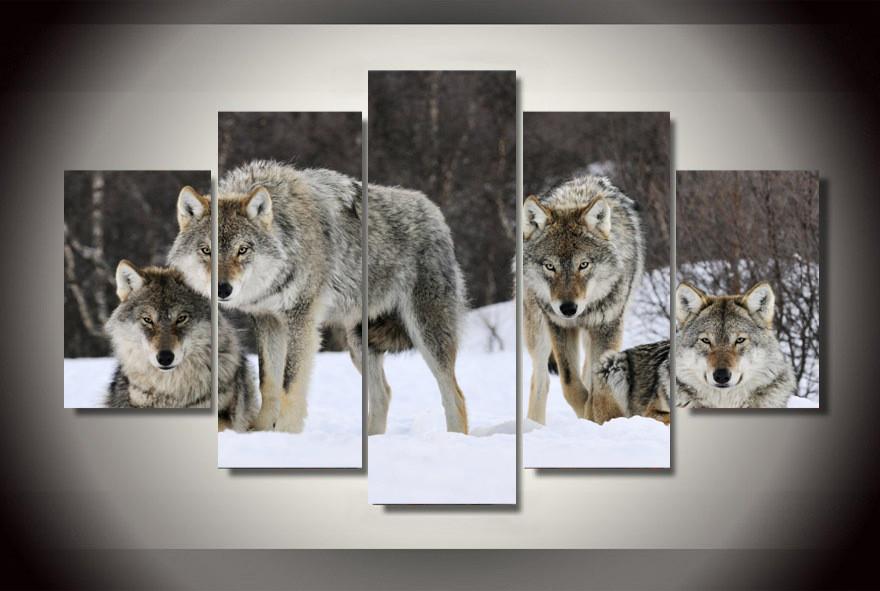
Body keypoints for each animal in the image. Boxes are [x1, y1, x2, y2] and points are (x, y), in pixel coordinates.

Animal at [168, 160, 468, 435]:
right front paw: (262, 432)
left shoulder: (301, 319)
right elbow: (269, 383)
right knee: (384, 394)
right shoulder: (267, 320)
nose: (223, 289)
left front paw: (286, 434)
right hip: (358, 344)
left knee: (455, 396)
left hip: (426, 333)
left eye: (243, 250)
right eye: (206, 250)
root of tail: (435, 212)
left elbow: (290, 384)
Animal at [523, 175, 644, 425]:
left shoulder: (607, 327)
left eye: (583, 265)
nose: (568, 308)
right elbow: (571, 385)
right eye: (550, 266)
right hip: (538, 332)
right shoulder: (559, 326)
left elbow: (596, 387)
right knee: (540, 380)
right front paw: (586, 416)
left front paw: (596, 418)